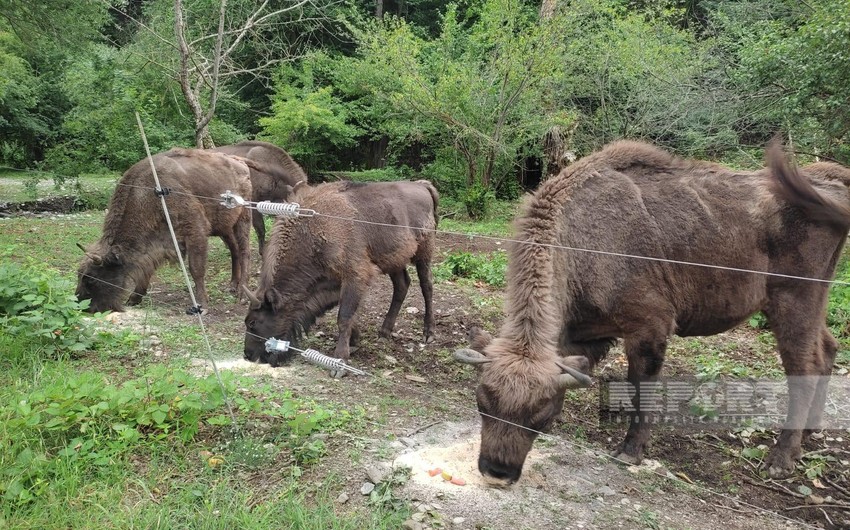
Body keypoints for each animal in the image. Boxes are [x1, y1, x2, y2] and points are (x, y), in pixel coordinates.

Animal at [76, 146, 252, 312]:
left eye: (91, 278)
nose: (82, 305)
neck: (145, 194)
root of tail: (240, 163)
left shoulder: (196, 231)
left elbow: (196, 269)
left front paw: (202, 305)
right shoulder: (156, 242)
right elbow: (146, 270)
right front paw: (133, 299)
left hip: (243, 219)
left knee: (244, 252)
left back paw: (242, 294)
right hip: (224, 227)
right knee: (234, 250)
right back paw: (233, 286)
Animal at [240, 179, 434, 366]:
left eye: (252, 322)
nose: (248, 354)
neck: (312, 230)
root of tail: (422, 186)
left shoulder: (355, 275)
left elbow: (344, 316)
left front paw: (341, 357)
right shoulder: (333, 283)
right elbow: (351, 314)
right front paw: (354, 341)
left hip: (423, 253)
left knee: (426, 287)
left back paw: (428, 333)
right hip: (395, 259)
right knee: (402, 286)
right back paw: (384, 331)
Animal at [454, 139, 848, 482]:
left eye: (538, 414)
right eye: (482, 403)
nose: (497, 471)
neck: (583, 239)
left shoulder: (649, 328)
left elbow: (642, 391)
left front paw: (630, 450)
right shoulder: (586, 334)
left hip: (792, 303)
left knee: (805, 368)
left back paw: (781, 459)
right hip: (812, 303)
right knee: (827, 350)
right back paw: (810, 434)